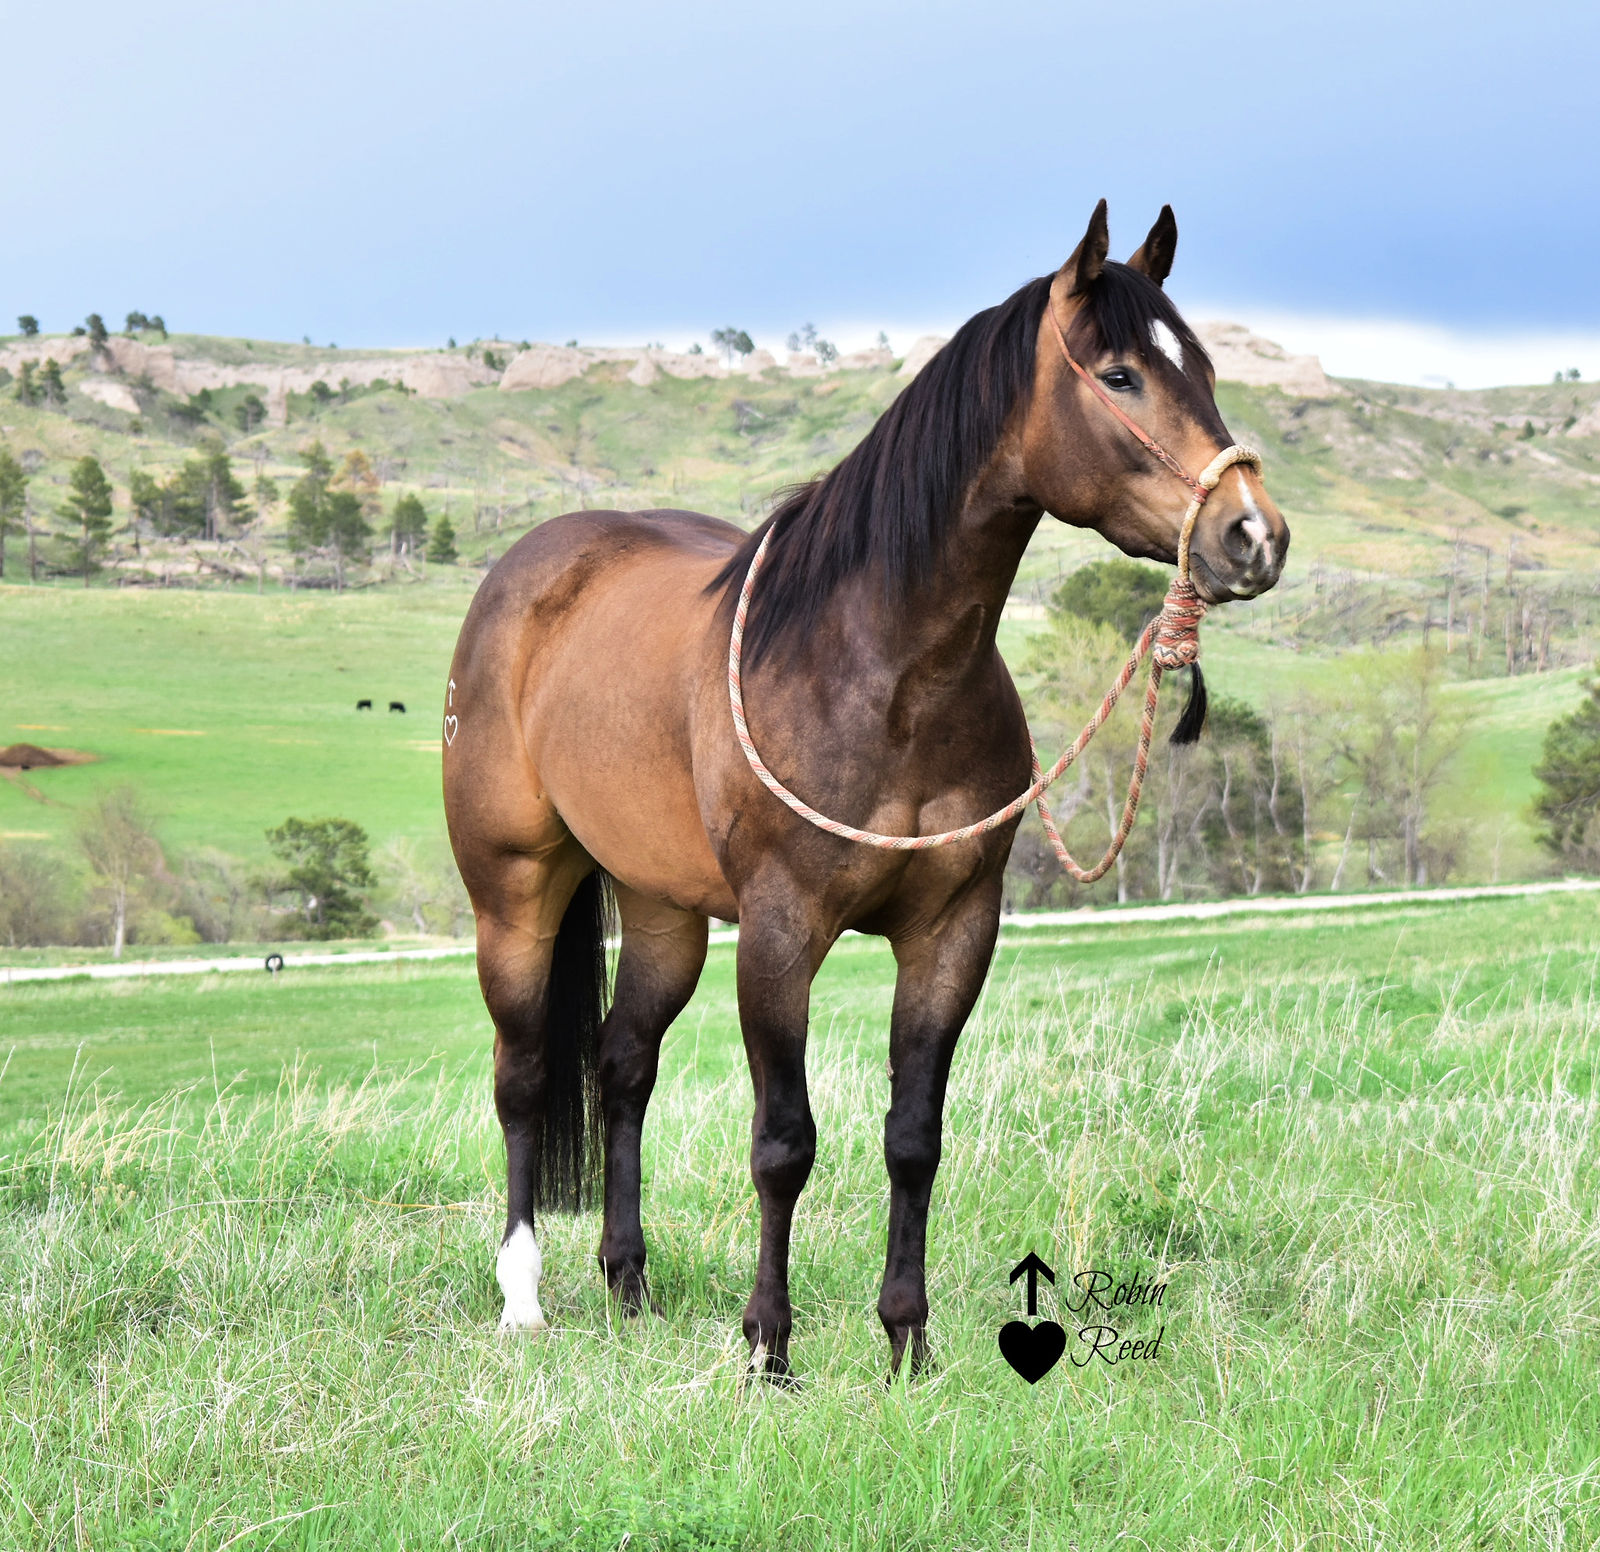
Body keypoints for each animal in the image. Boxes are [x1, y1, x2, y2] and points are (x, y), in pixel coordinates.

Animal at [442, 201, 1288, 1382]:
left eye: (1204, 369)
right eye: (1120, 375)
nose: (1254, 535)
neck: (883, 671)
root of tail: (531, 569)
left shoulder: (952, 929)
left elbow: (913, 1137)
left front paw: (907, 1342)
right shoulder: (780, 931)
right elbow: (783, 1142)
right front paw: (769, 1346)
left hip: (663, 913)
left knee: (621, 1066)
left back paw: (629, 1284)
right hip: (516, 891)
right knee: (523, 1074)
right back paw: (523, 1296)